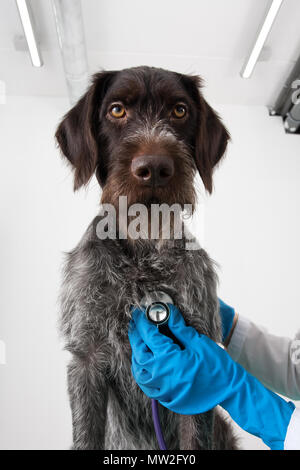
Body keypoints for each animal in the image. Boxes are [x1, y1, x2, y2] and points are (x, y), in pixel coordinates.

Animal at [55, 67, 238, 452]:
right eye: (117, 110)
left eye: (180, 111)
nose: (154, 167)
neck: (145, 253)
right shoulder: (87, 358)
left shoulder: (197, 359)